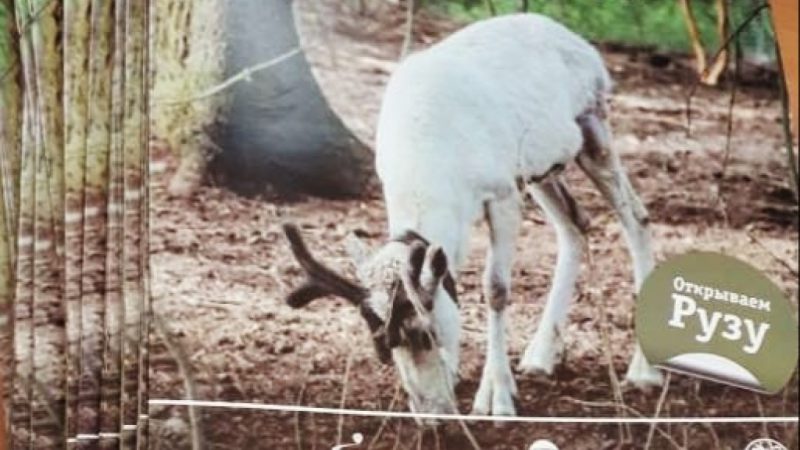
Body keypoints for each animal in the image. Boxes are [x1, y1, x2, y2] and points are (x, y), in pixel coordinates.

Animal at [284, 13, 660, 418]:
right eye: (382, 344)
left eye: (425, 333)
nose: (429, 412)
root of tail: (582, 45)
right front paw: (455, 372)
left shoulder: (503, 194)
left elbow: (495, 287)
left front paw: (497, 397)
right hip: (540, 167)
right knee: (576, 222)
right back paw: (541, 356)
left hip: (593, 124)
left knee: (635, 216)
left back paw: (644, 371)